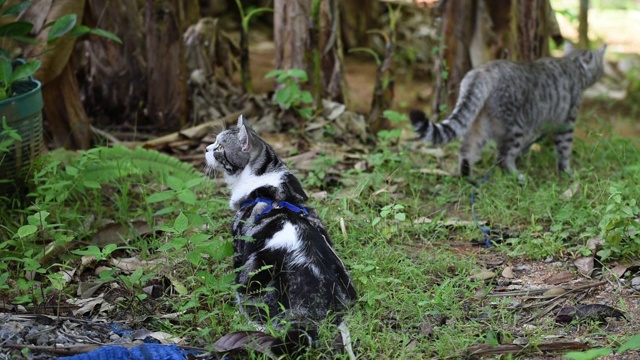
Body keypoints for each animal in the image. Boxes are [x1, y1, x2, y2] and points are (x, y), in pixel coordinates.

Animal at [410, 43, 604, 178]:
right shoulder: (567, 121)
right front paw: (567, 171)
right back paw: (516, 175)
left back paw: (467, 177)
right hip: (515, 127)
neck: (572, 62)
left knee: (467, 149)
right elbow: (564, 148)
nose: (602, 74)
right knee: (504, 156)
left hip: (479, 123)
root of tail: (482, 72)